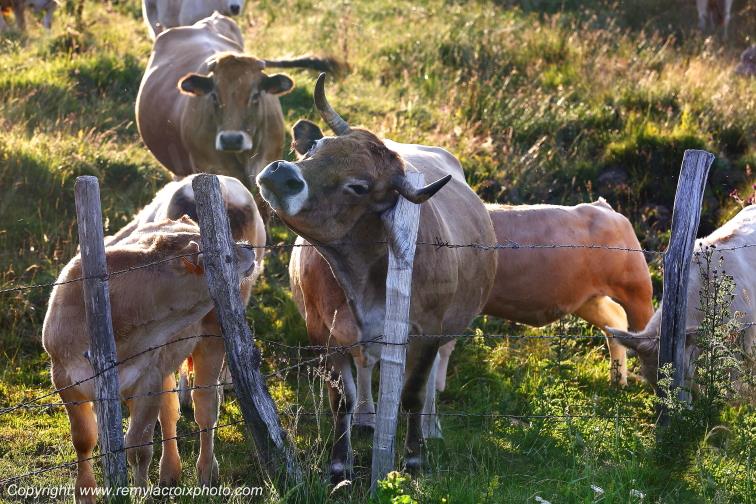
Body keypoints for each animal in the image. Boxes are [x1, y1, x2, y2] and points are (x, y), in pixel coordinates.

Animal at [42, 217, 257, 502]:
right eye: (226, 257)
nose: (249, 248)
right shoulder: (65, 379)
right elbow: (85, 439)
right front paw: (85, 493)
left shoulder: (147, 379)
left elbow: (138, 447)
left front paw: (141, 492)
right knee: (169, 414)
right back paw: (169, 473)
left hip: (212, 341)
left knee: (205, 409)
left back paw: (207, 471)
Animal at [258, 74, 497, 482]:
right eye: (316, 146)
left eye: (359, 186)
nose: (281, 174)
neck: (362, 274)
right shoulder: (323, 330)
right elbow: (342, 398)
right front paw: (339, 464)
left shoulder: (427, 330)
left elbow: (413, 393)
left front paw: (414, 458)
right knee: (367, 365)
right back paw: (368, 418)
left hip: (450, 327)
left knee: (434, 374)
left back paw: (431, 427)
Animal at [291, 199, 655, 434]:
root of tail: (603, 207)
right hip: (587, 298)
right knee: (613, 323)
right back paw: (618, 379)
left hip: (637, 288)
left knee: (644, 329)